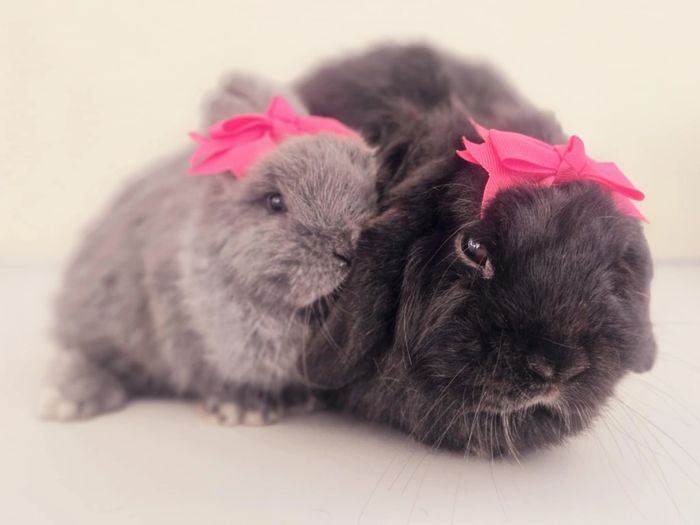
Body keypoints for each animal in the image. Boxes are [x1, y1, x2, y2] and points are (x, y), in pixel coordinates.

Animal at [40, 73, 378, 425]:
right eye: (274, 202)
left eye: (369, 191)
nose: (346, 251)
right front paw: (243, 409)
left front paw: (299, 400)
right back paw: (68, 401)